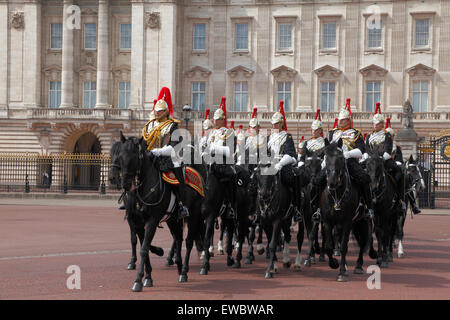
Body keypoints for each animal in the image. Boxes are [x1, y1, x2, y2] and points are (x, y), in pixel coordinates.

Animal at [118, 134, 205, 292]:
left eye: (134, 157)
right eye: (120, 157)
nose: (126, 185)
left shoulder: (152, 220)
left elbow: (144, 248)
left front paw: (138, 280)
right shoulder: (137, 222)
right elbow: (143, 246)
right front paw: (148, 277)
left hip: (194, 215)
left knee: (188, 241)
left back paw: (184, 271)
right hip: (173, 219)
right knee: (178, 238)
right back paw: (178, 266)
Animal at [320, 141, 372, 282]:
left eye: (341, 158)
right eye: (325, 158)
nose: (332, 182)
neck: (336, 195)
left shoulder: (347, 221)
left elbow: (343, 246)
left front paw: (342, 272)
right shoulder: (327, 221)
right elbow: (329, 246)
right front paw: (334, 263)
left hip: (361, 221)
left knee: (362, 242)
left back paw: (358, 266)